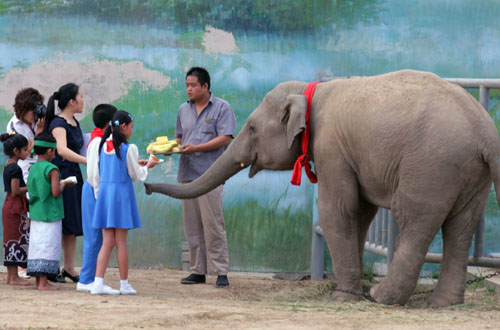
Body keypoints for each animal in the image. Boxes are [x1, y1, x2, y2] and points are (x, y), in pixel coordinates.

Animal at [145, 69, 500, 306]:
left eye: (252, 128)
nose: (146, 187)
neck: (310, 89)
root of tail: (485, 130)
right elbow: (360, 213)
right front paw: (348, 289)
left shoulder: (332, 146)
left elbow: (337, 209)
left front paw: (345, 296)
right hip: (470, 173)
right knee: (460, 227)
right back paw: (443, 304)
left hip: (431, 166)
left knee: (415, 220)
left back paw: (382, 297)